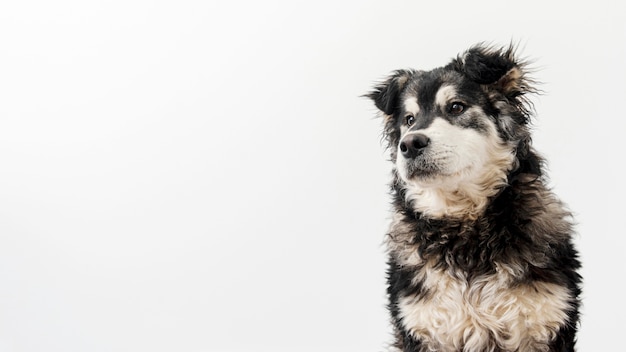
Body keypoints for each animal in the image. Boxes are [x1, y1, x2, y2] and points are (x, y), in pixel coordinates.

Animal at [366, 44, 580, 352]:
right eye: (409, 120)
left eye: (456, 107)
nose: (409, 144)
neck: (466, 230)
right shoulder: (419, 325)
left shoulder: (547, 319)